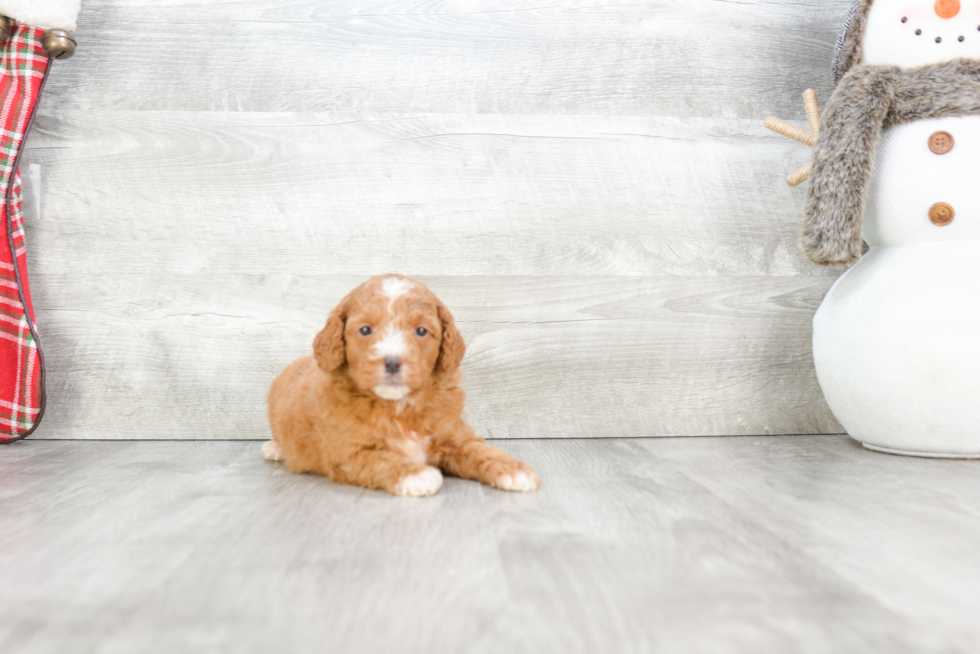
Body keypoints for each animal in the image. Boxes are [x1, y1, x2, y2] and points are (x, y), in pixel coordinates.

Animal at [264, 272, 540, 498]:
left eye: (421, 331)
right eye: (365, 330)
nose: (393, 362)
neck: (400, 406)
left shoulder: (453, 435)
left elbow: (481, 451)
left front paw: (514, 469)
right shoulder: (347, 451)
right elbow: (381, 459)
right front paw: (416, 474)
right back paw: (275, 447)